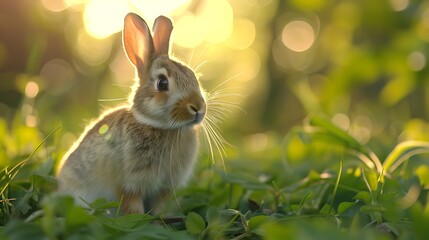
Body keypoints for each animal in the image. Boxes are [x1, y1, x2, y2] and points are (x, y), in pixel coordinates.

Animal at [56, 12, 206, 214]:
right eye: (162, 83)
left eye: (193, 76)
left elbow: (161, 207)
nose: (198, 107)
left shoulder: (165, 188)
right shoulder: (130, 184)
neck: (164, 128)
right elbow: (132, 207)